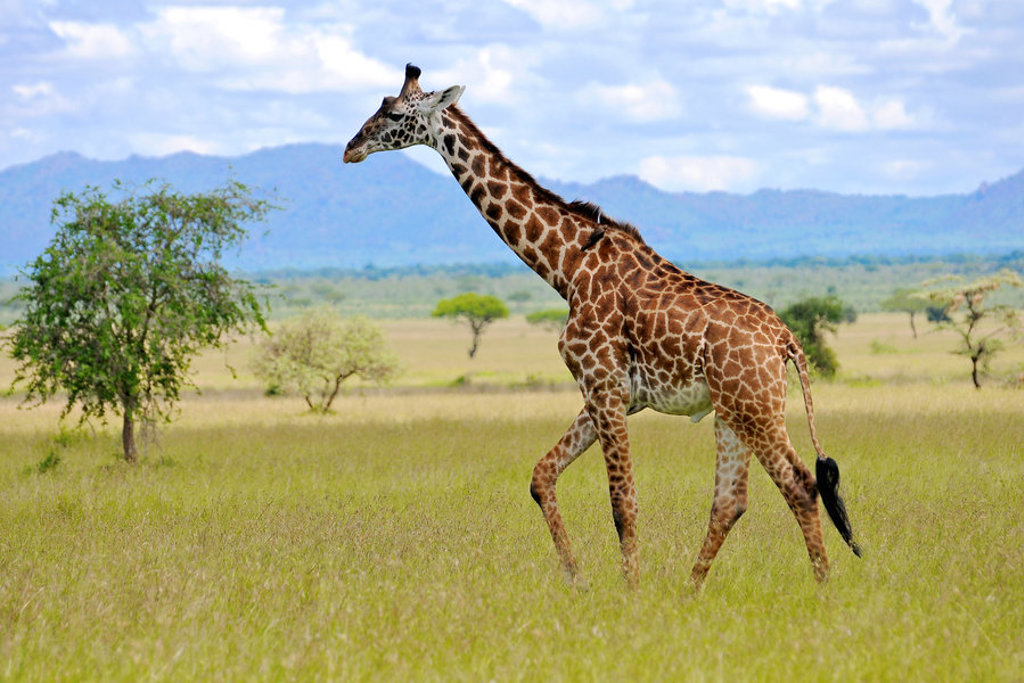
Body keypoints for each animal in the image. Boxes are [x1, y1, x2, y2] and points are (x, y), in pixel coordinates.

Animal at [344, 64, 861, 589]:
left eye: (394, 113)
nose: (351, 147)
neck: (567, 266)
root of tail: (787, 340)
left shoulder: (603, 384)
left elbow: (622, 502)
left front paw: (630, 591)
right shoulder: (611, 393)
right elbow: (542, 476)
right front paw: (577, 578)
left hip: (755, 407)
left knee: (800, 485)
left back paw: (821, 588)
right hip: (731, 411)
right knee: (730, 501)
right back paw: (688, 592)